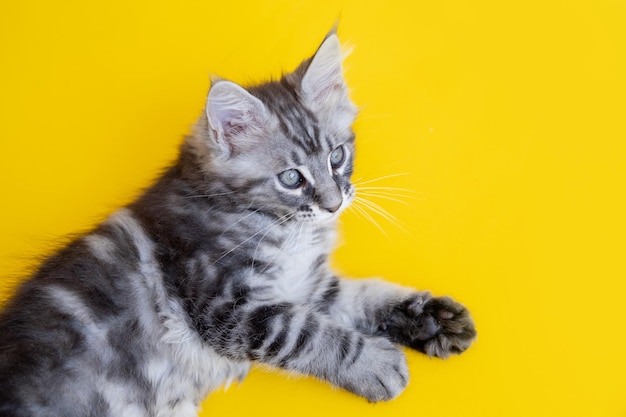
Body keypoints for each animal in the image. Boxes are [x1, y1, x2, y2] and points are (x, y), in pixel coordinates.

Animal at [0, 32, 472, 416]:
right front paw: (375, 364)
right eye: (291, 178)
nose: (334, 204)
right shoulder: (225, 303)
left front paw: (433, 318)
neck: (283, 225)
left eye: (337, 156)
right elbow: (309, 334)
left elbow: (365, 297)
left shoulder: (307, 286)